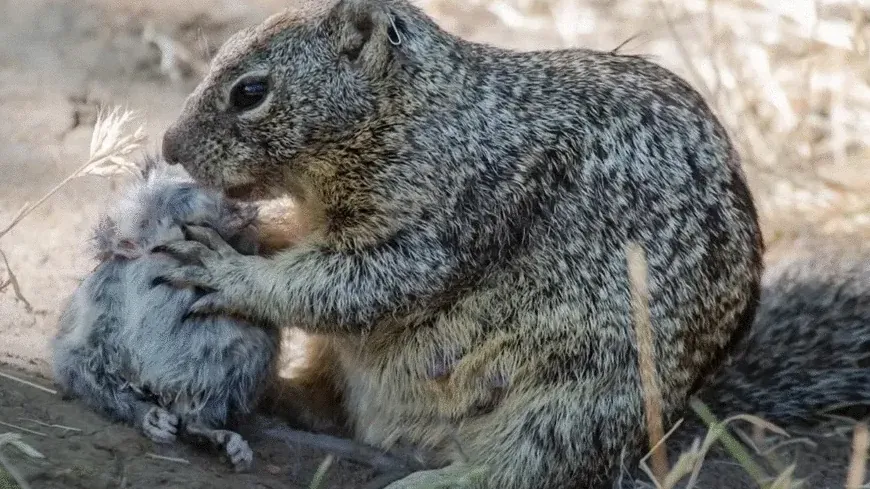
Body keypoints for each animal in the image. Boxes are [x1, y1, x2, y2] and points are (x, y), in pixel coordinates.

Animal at [158, 0, 768, 486]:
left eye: (250, 92)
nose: (168, 146)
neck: (423, 114)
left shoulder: (432, 233)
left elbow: (340, 288)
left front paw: (227, 271)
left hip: (575, 401)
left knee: (522, 469)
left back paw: (426, 481)